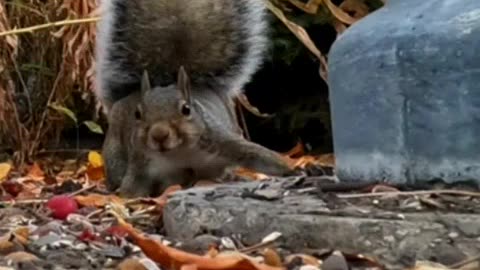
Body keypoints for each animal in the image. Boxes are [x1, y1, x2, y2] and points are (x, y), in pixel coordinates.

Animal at [95, 0, 294, 196]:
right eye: (137, 114)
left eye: (186, 109)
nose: (159, 134)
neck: (179, 153)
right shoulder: (141, 163)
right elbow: (131, 189)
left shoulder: (222, 141)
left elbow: (257, 155)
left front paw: (291, 170)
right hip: (115, 152)